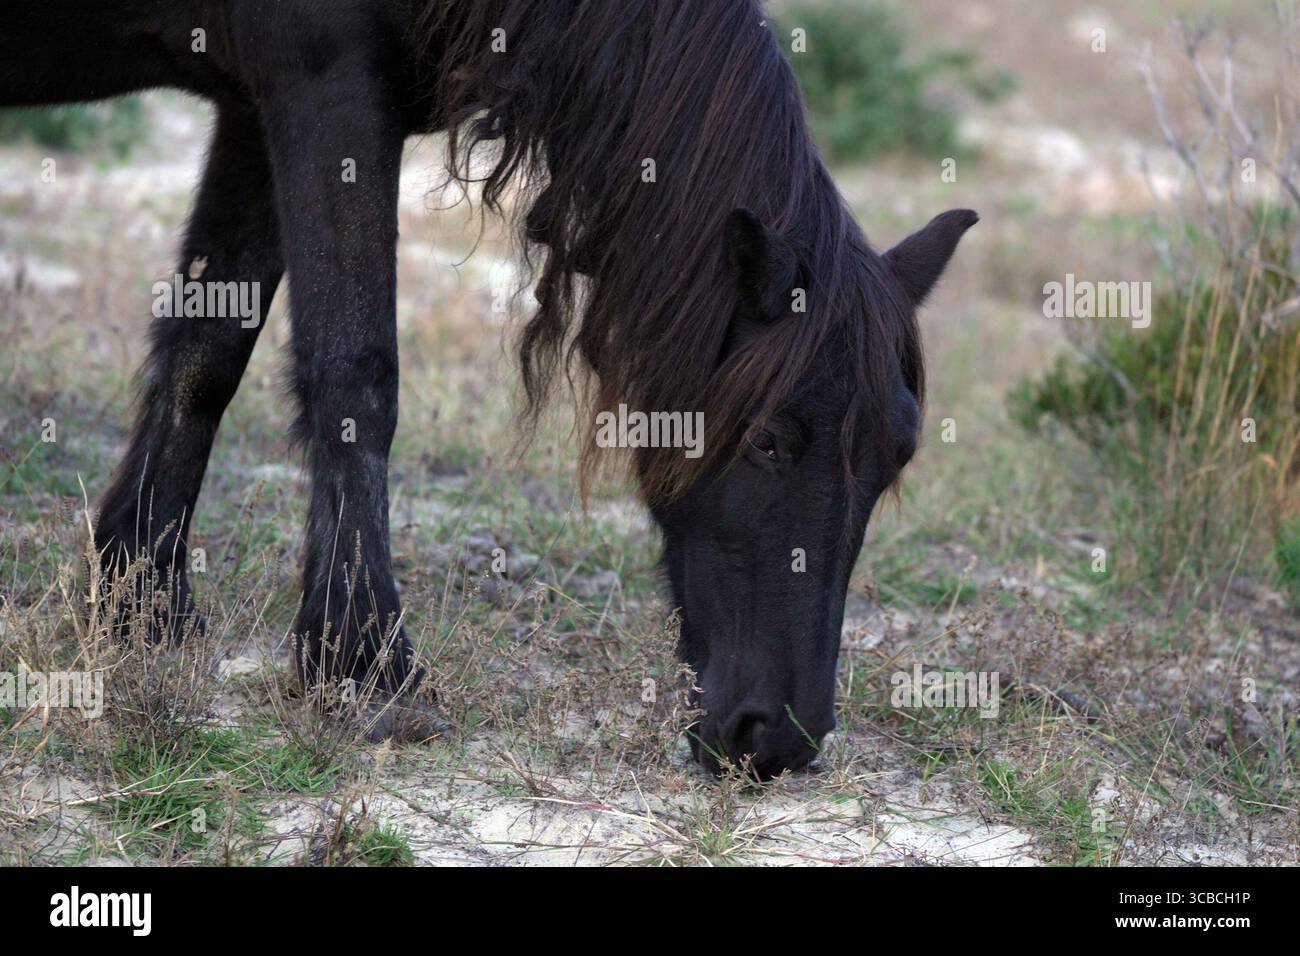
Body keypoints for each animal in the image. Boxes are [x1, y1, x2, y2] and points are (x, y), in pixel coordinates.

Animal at [1, 0, 976, 779]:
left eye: (897, 458)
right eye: (770, 437)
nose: (778, 740)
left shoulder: (251, 105)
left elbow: (206, 350)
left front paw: (140, 604)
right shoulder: (325, 84)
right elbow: (355, 371)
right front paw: (366, 664)